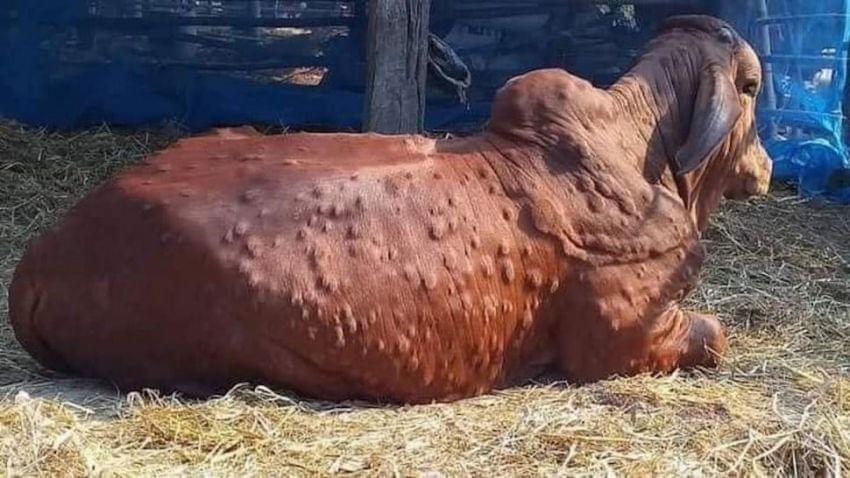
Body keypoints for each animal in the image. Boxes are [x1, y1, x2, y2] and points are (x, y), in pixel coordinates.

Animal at [9, 16, 772, 404]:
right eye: (755, 87)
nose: (764, 168)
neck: (643, 155)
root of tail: (43, 258)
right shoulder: (621, 340)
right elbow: (715, 336)